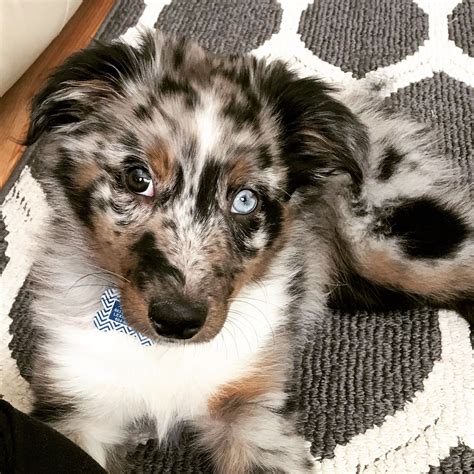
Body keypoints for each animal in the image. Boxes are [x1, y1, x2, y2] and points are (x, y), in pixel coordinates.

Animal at [24, 31, 472, 472]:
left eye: (245, 200)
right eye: (138, 179)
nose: (178, 320)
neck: (161, 354)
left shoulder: (252, 410)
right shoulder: (77, 404)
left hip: (391, 241)